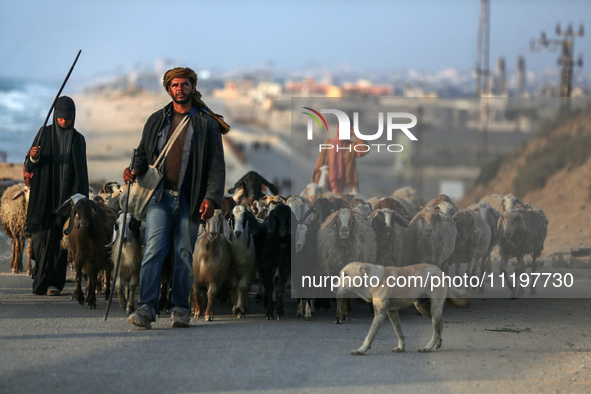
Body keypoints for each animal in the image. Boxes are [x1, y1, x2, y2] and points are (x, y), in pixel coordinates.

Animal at [336, 262, 470, 354]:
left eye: (347, 275)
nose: (334, 288)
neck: (373, 278)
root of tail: (440, 271)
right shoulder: (391, 312)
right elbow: (398, 331)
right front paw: (401, 347)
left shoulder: (380, 314)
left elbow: (369, 336)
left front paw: (361, 350)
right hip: (423, 307)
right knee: (440, 324)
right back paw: (437, 343)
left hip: (435, 309)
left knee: (435, 332)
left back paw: (427, 347)